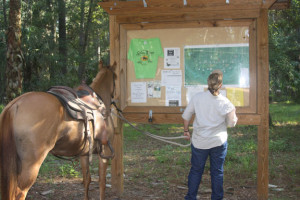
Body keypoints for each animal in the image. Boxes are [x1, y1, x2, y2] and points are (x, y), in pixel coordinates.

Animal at [0, 61, 116, 200]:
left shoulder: (84, 154)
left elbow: (87, 180)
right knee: (19, 192)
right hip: (31, 166)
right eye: (116, 77)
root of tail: (15, 105)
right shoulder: (104, 152)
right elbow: (102, 183)